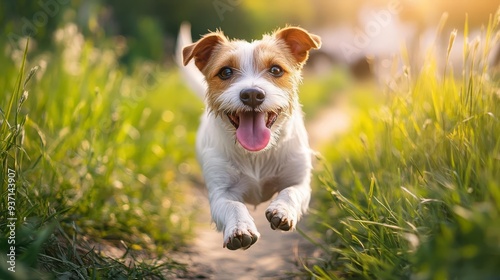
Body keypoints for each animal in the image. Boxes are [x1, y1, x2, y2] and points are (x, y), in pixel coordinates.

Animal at [179, 25, 320, 250]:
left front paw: (282, 210)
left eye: (276, 70)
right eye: (226, 72)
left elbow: (290, 192)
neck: (256, 154)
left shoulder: (300, 183)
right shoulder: (221, 194)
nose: (252, 94)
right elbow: (233, 205)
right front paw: (240, 228)